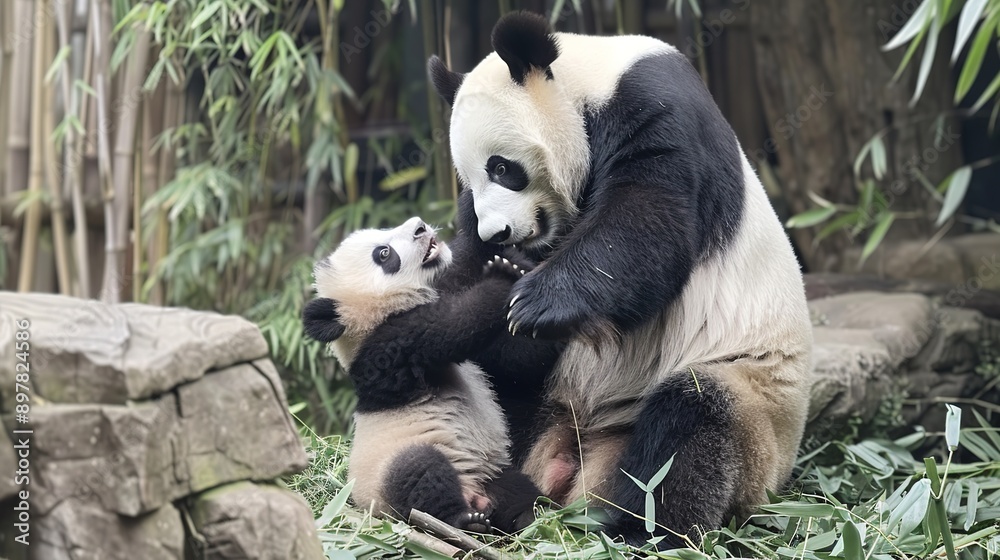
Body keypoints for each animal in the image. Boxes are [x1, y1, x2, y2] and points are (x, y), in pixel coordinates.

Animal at [302, 216, 550, 533]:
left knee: (518, 491)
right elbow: (455, 326)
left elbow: (520, 355)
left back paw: (534, 517)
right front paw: (501, 274)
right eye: (384, 254)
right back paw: (463, 520)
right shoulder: (391, 349)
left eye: (383, 231)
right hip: (398, 471)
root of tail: (475, 495)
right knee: (421, 473)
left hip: (495, 473)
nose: (419, 226)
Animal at [427, 12, 814, 546]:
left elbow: (647, 219)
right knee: (491, 395)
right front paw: (491, 283)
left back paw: (639, 532)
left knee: (691, 426)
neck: (591, 81)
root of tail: (578, 454)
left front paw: (534, 302)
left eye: (502, 168)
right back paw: (493, 505)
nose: (498, 233)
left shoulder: (656, 107)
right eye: (468, 177)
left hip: (754, 405)